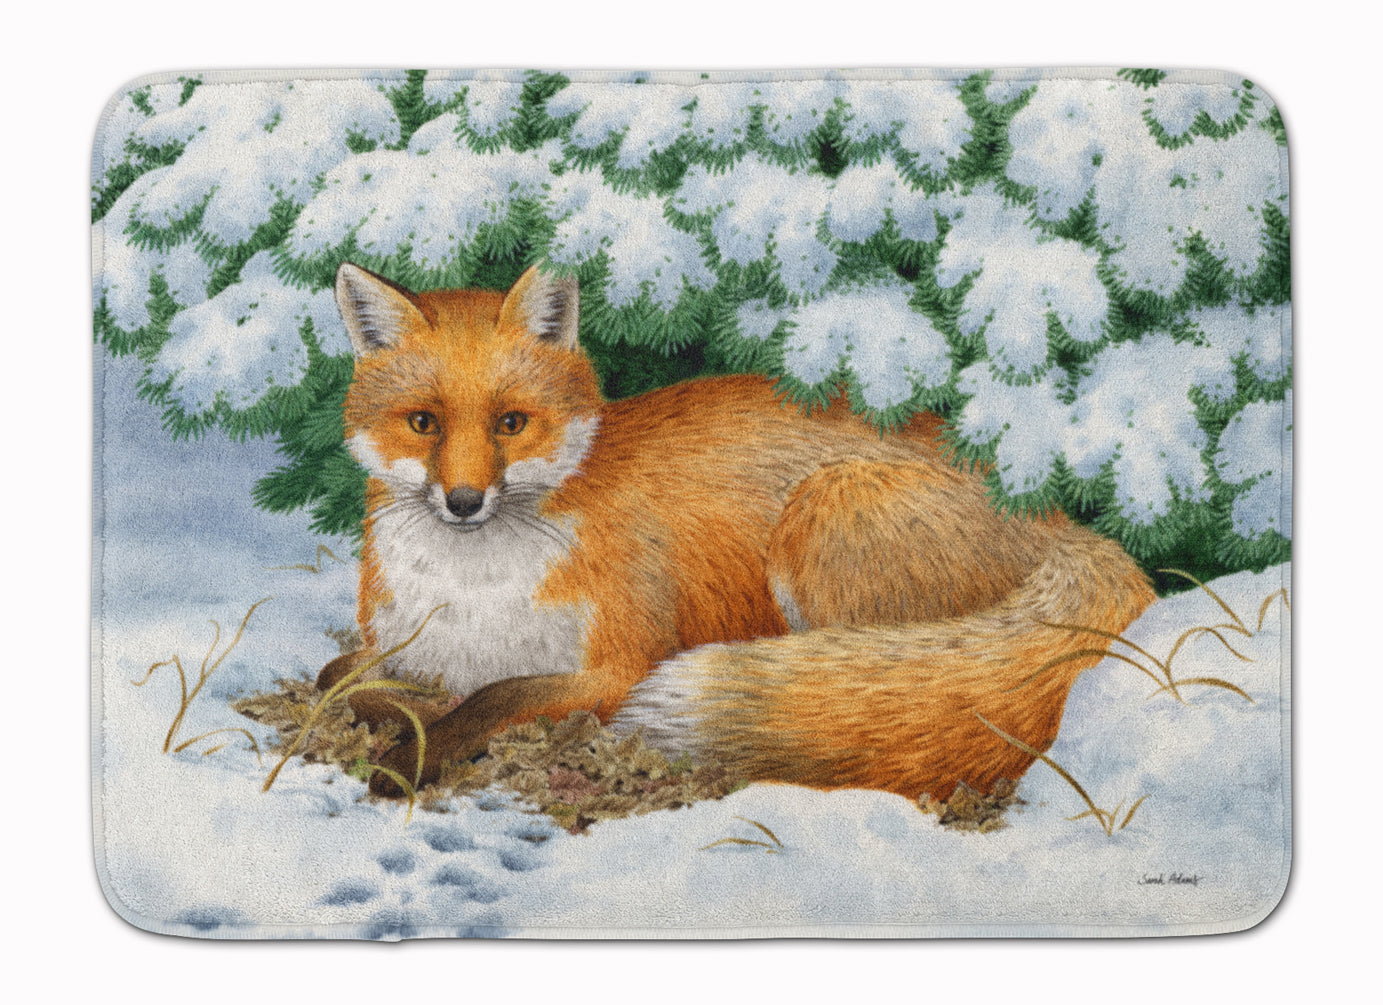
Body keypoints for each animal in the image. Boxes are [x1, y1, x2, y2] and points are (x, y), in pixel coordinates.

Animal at [320, 261, 1156, 802]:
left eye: (511, 423)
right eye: (423, 423)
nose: (463, 501)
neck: (471, 592)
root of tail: (1049, 512)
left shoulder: (617, 668)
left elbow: (492, 698)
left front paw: (408, 761)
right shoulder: (398, 645)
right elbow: (344, 680)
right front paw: (403, 717)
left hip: (823, 513)